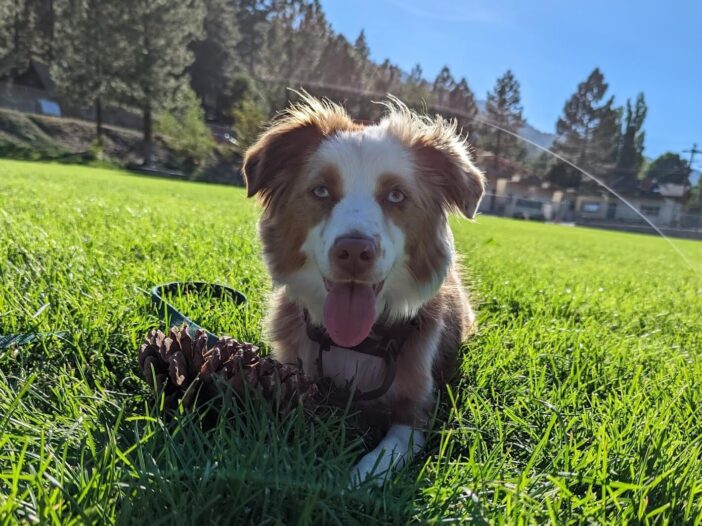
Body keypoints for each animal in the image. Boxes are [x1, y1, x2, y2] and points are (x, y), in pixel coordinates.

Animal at [241, 94, 484, 486]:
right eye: (321, 190)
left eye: (396, 195)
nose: (354, 251)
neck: (356, 343)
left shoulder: (417, 409)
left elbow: (385, 454)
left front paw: (354, 481)